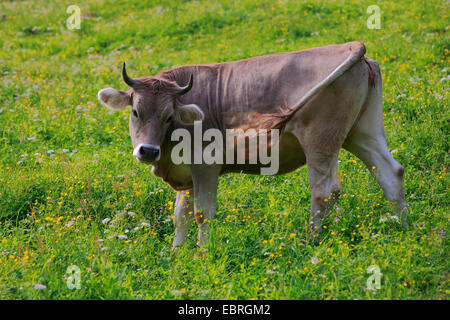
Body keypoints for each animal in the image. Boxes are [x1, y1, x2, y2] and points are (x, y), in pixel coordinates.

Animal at [98, 42, 408, 248]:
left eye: (168, 116)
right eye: (135, 111)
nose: (148, 151)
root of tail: (352, 47)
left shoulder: (205, 166)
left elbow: (201, 214)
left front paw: (202, 254)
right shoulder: (185, 172)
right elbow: (180, 215)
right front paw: (177, 254)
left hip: (321, 138)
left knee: (326, 191)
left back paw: (310, 242)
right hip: (363, 132)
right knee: (391, 173)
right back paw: (405, 229)